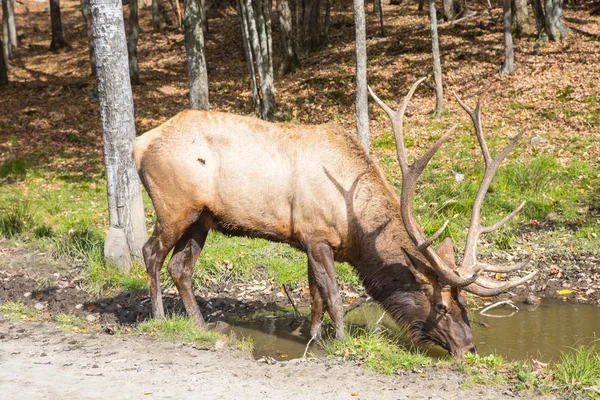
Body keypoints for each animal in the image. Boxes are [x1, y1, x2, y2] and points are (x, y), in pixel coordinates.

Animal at [134, 77, 536, 356]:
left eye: (464, 303)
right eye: (441, 305)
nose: (469, 347)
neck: (354, 229)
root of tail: (139, 144)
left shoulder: (307, 240)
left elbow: (315, 295)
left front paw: (312, 337)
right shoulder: (316, 234)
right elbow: (334, 295)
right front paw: (340, 340)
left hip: (201, 218)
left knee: (181, 267)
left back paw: (201, 325)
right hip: (173, 206)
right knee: (150, 252)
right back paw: (159, 317)